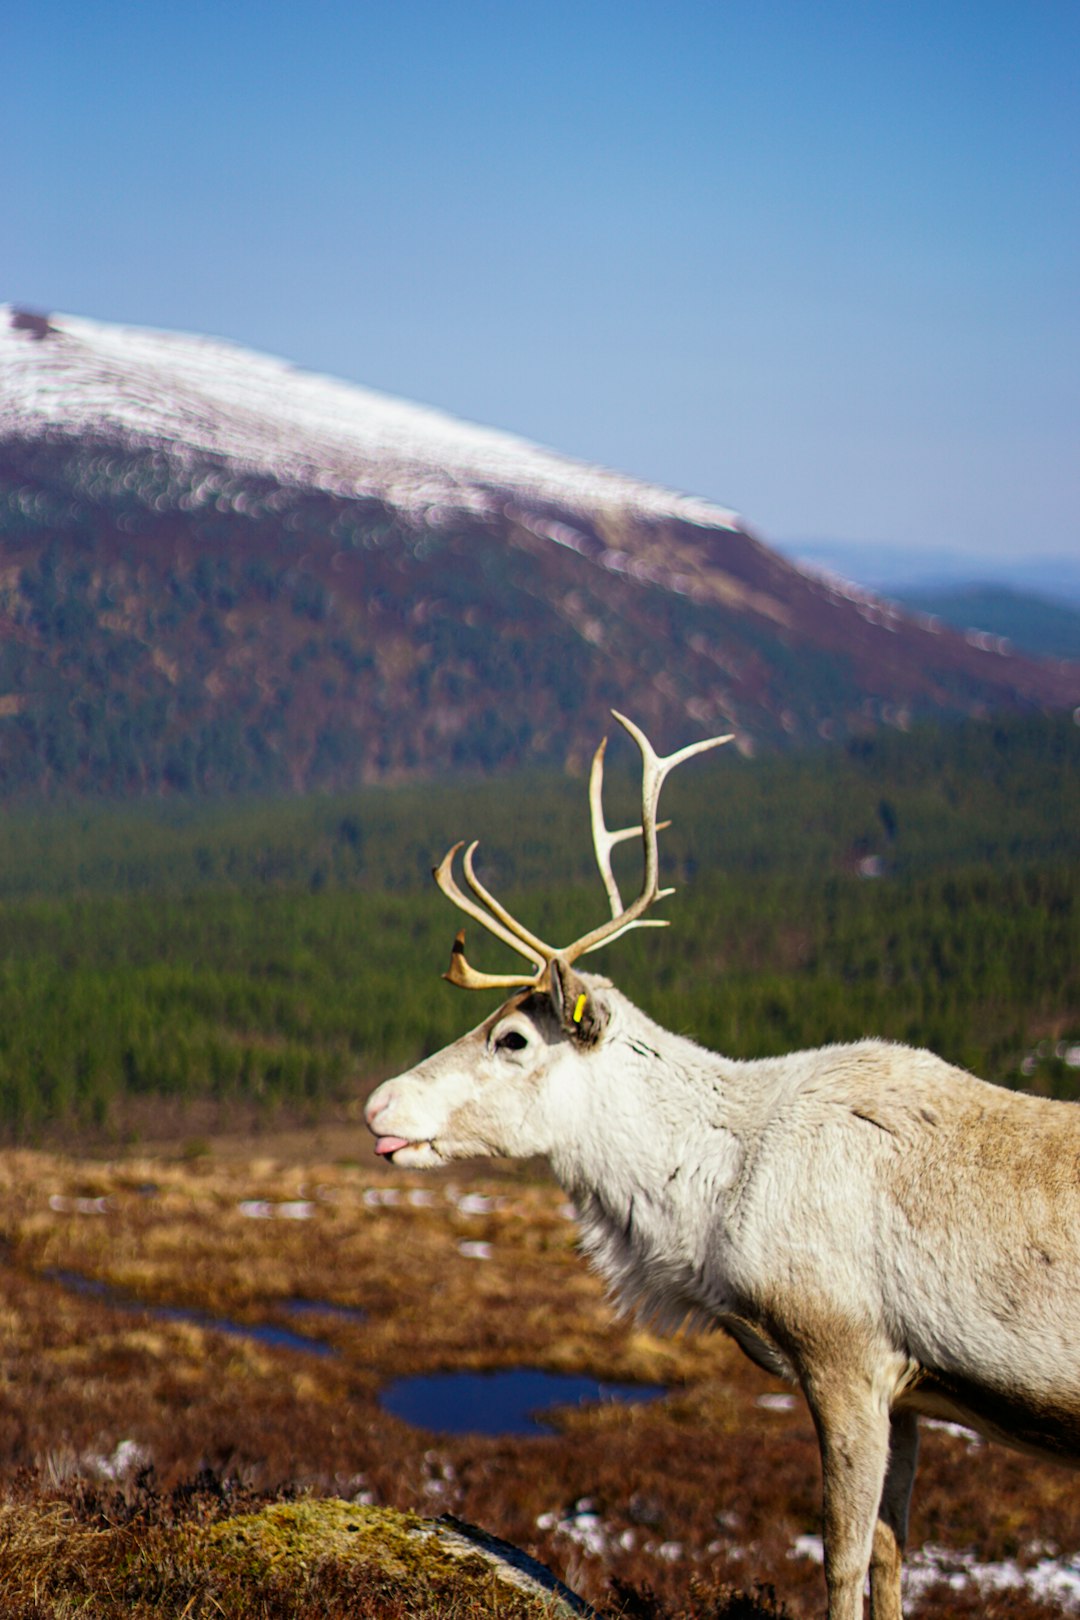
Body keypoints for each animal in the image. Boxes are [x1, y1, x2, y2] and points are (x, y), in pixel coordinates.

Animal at [364, 712, 1080, 1620]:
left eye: (514, 1038)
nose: (378, 1105)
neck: (711, 1202)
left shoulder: (842, 1352)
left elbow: (841, 1556)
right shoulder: (911, 1387)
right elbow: (892, 1555)